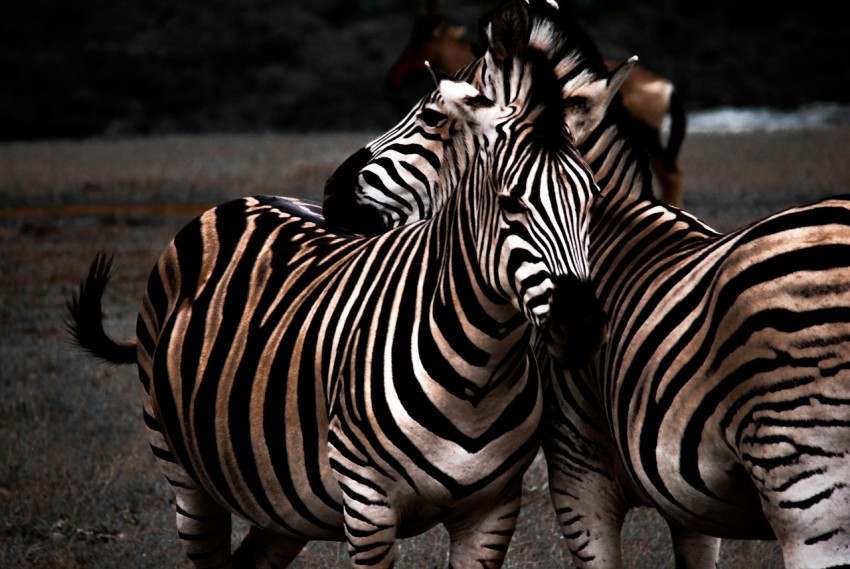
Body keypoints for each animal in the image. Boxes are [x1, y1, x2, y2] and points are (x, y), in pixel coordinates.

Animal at [66, 6, 616, 564]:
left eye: (592, 198)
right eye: (510, 203)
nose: (581, 326)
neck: (479, 370)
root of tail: (242, 200)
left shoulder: (493, 511)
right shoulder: (368, 507)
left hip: (282, 503)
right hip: (184, 475)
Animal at [314, 2, 848, 564]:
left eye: (433, 116)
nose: (330, 192)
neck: (608, 231)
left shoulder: (579, 477)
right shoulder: (691, 509)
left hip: (804, 493)